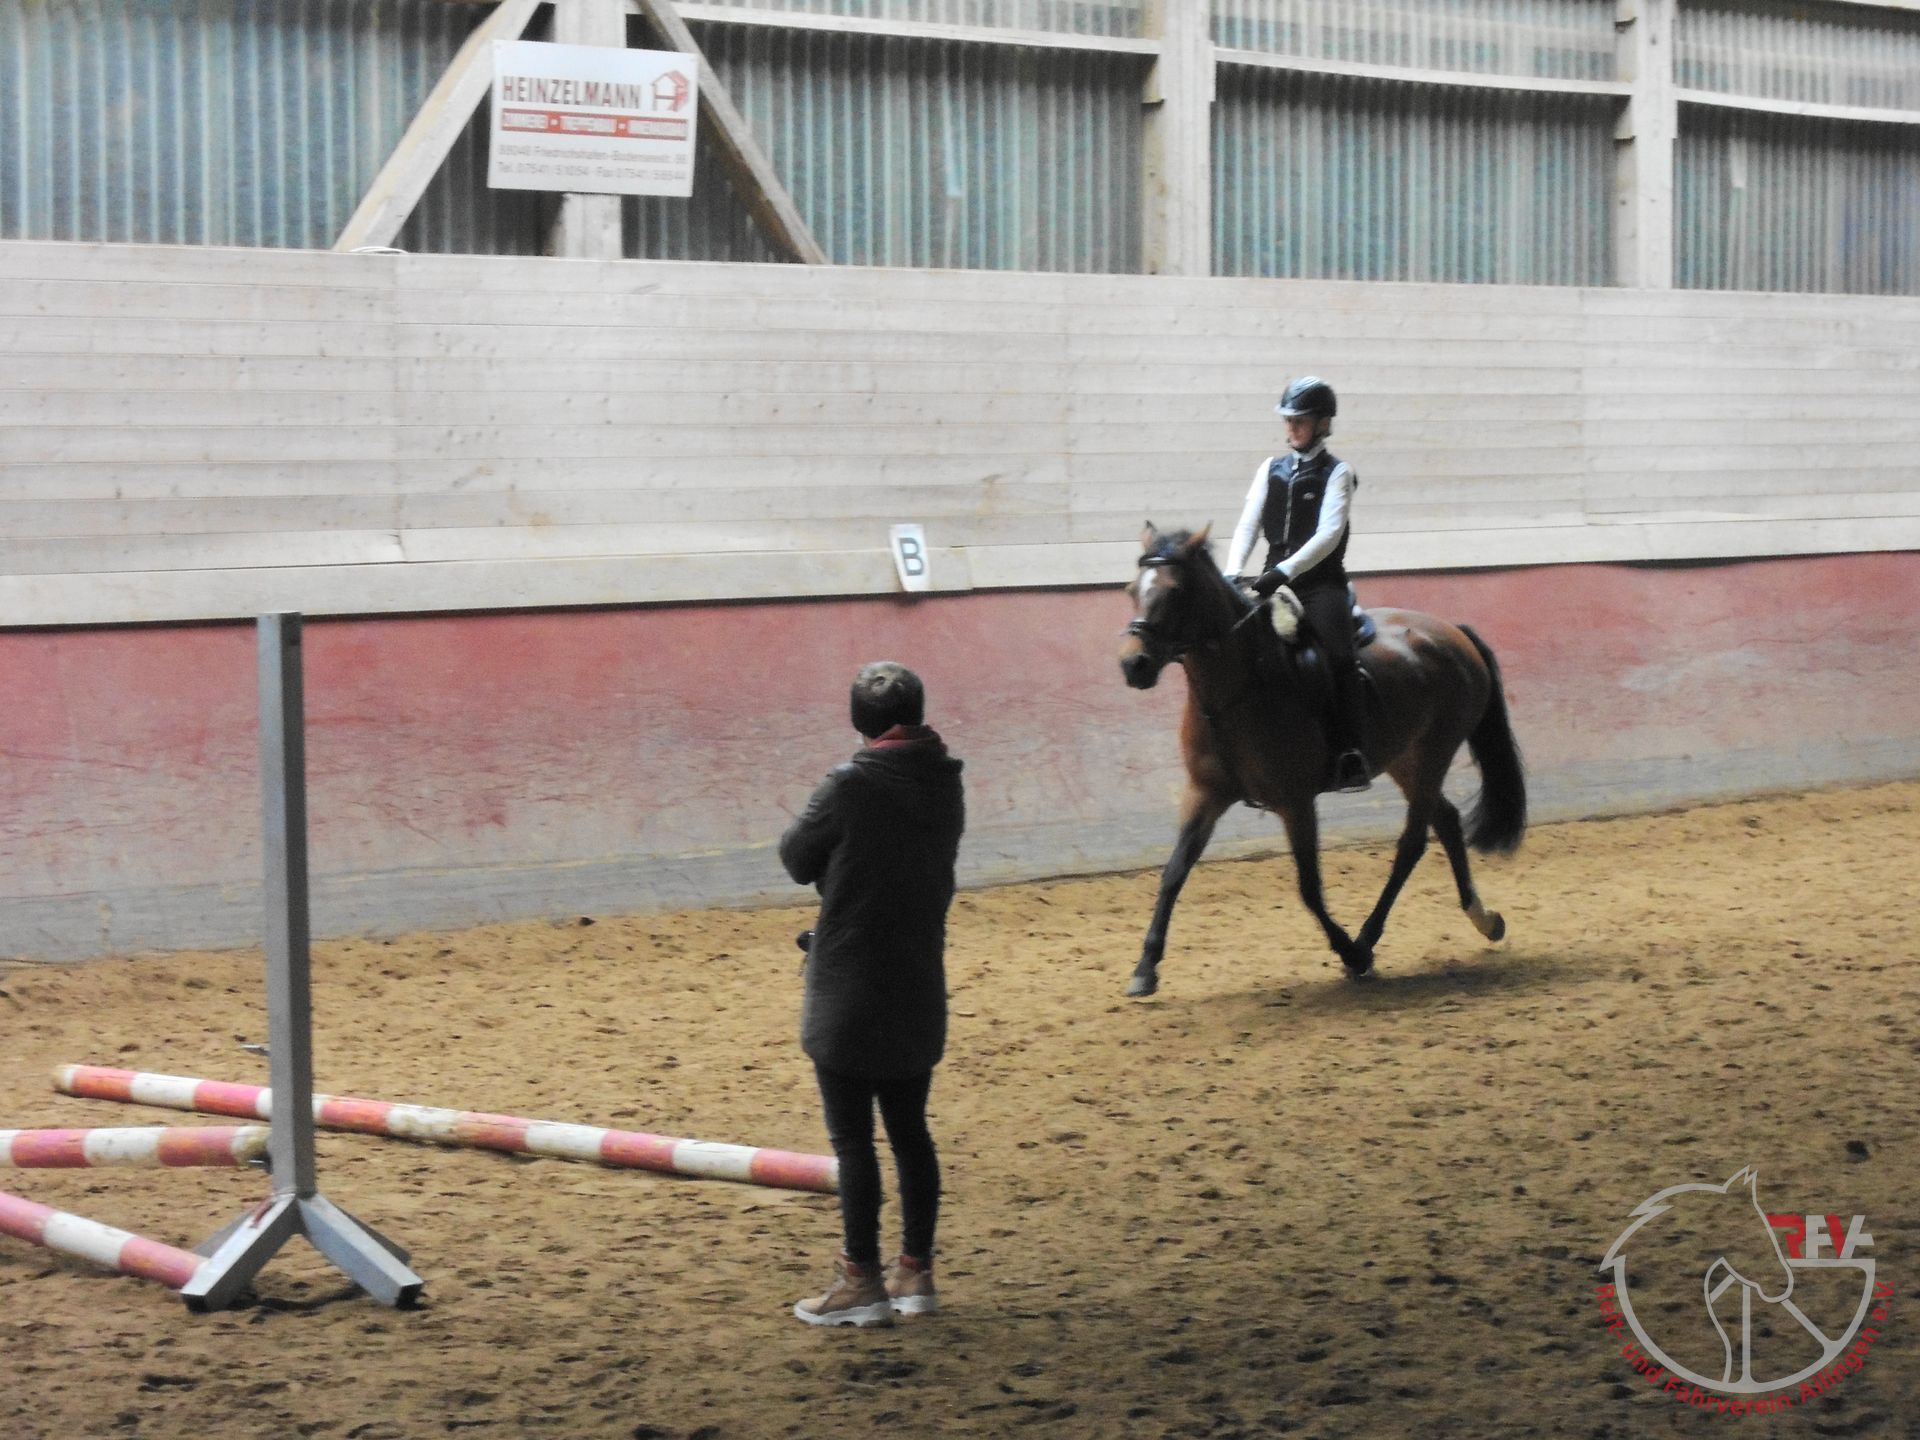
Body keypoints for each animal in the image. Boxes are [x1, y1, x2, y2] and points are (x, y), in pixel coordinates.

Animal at [1117, 523, 1526, 996]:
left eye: (1176, 591)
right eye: (1132, 590)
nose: (1134, 664)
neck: (1236, 690)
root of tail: (1451, 631)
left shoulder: (1295, 802)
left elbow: (1309, 888)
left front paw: (1351, 953)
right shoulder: (1205, 794)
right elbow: (1173, 873)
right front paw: (1145, 968)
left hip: (1433, 754)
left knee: (1412, 843)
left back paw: (1367, 941)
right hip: (1405, 759)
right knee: (1446, 820)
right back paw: (1485, 919)